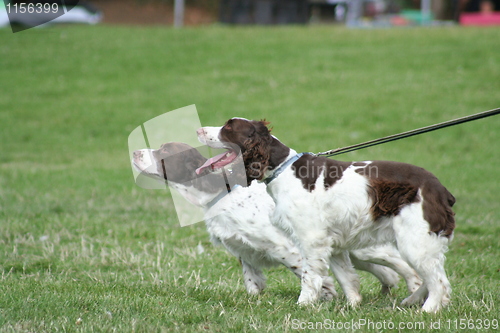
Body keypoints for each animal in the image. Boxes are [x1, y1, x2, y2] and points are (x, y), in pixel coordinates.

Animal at [197, 118, 456, 312]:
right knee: (431, 276)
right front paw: (352, 306)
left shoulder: (311, 240)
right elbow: (347, 279)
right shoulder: (333, 242)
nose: (199, 130)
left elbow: (310, 276)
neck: (284, 169)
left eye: (228, 127)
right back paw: (411, 301)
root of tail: (440, 189)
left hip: (414, 239)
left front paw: (303, 305)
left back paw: (427, 310)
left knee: (438, 281)